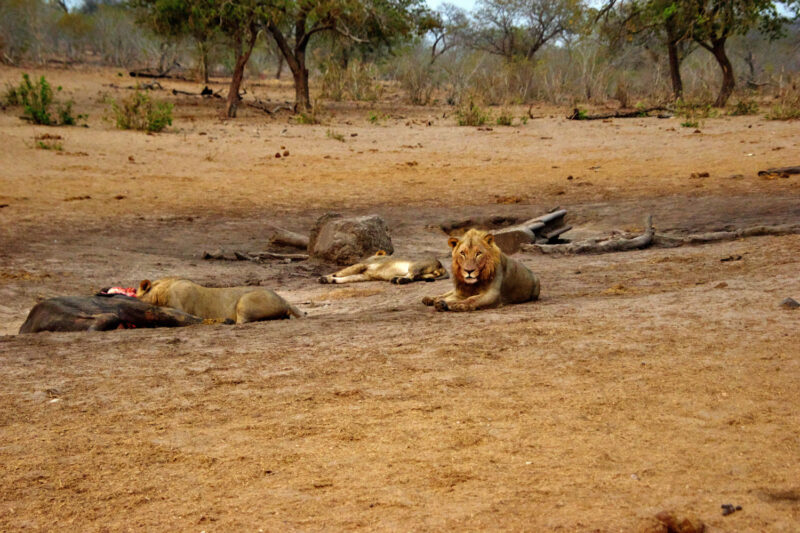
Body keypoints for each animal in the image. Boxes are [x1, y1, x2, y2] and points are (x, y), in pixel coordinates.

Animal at [318, 251, 450, 284]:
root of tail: (442, 265)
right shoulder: (364, 275)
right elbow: (346, 278)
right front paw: (330, 280)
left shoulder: (361, 265)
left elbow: (341, 272)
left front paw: (324, 277)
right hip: (424, 273)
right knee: (416, 277)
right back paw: (396, 279)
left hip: (415, 265)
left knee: (412, 275)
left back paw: (399, 280)